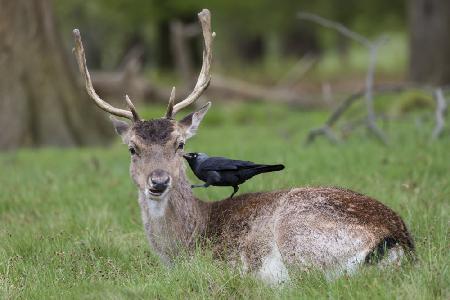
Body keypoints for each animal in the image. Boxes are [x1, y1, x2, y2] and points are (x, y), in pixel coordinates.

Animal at [72, 8, 414, 282]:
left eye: (180, 144)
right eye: (133, 148)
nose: (158, 181)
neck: (185, 245)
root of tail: (397, 240)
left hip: (295, 233)